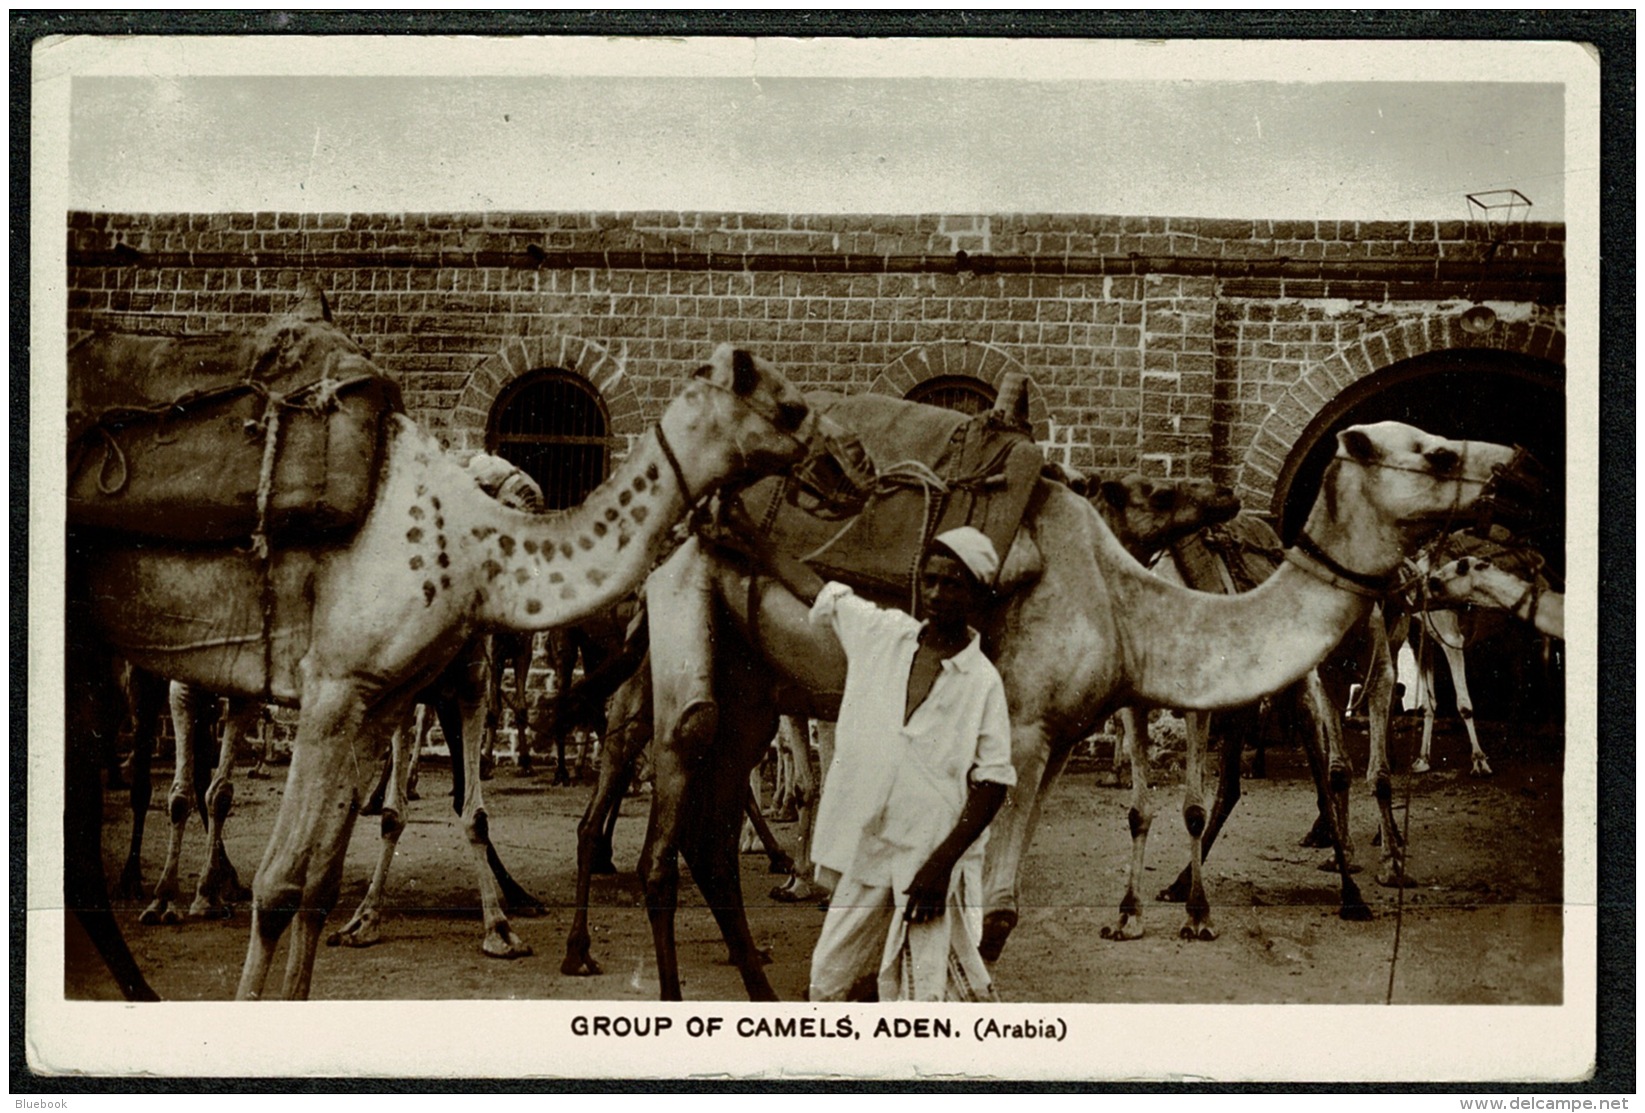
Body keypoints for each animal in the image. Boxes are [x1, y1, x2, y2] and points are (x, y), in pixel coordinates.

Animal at [69, 289, 829, 999]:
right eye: (790, 407)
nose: (831, 463)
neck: (472, 544)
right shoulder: (333, 688)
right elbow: (280, 885)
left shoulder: (381, 698)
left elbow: (320, 883)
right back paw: (174, 902)